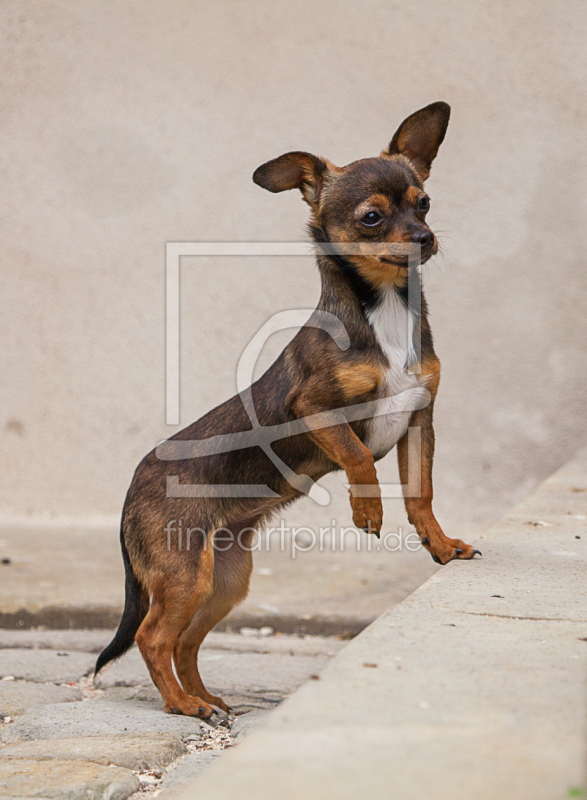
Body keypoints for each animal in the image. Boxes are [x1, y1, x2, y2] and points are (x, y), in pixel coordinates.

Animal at [96, 101, 480, 720]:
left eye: (423, 202)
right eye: (372, 218)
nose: (425, 238)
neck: (384, 312)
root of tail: (133, 487)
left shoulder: (419, 420)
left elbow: (420, 495)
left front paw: (441, 546)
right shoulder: (315, 409)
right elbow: (358, 457)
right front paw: (367, 512)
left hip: (223, 578)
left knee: (183, 641)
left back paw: (204, 698)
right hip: (183, 574)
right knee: (153, 637)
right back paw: (182, 706)